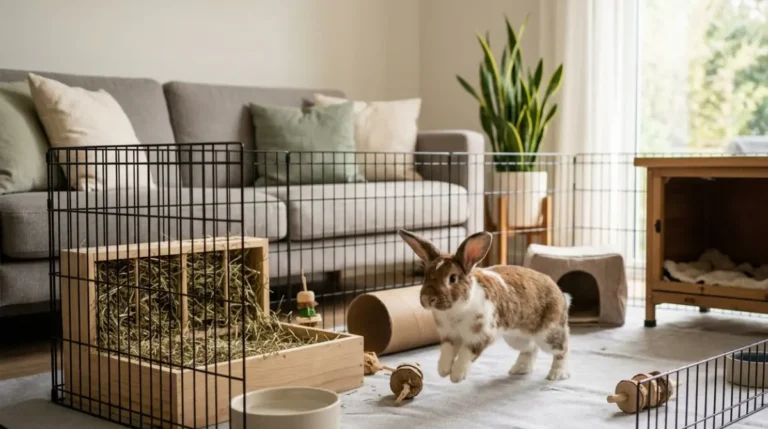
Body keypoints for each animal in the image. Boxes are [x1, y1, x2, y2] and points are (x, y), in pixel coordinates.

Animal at [398, 229, 571, 383]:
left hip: (548, 334)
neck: (456, 309)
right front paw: (443, 370)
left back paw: (557, 374)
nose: (427, 298)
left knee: (562, 349)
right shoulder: (449, 336)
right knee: (531, 349)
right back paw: (519, 369)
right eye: (426, 276)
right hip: (516, 337)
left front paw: (457, 376)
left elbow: (466, 354)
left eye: (452, 278)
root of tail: (558, 290)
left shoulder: (480, 336)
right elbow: (446, 352)